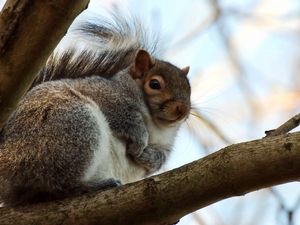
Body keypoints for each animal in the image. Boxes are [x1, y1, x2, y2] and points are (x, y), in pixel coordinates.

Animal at [0, 14, 191, 207]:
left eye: (189, 89)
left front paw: (149, 157)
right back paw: (91, 186)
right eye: (154, 84)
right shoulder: (104, 94)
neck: (156, 125)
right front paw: (140, 138)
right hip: (72, 127)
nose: (182, 110)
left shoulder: (165, 145)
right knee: (58, 185)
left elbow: (160, 158)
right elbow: (124, 117)